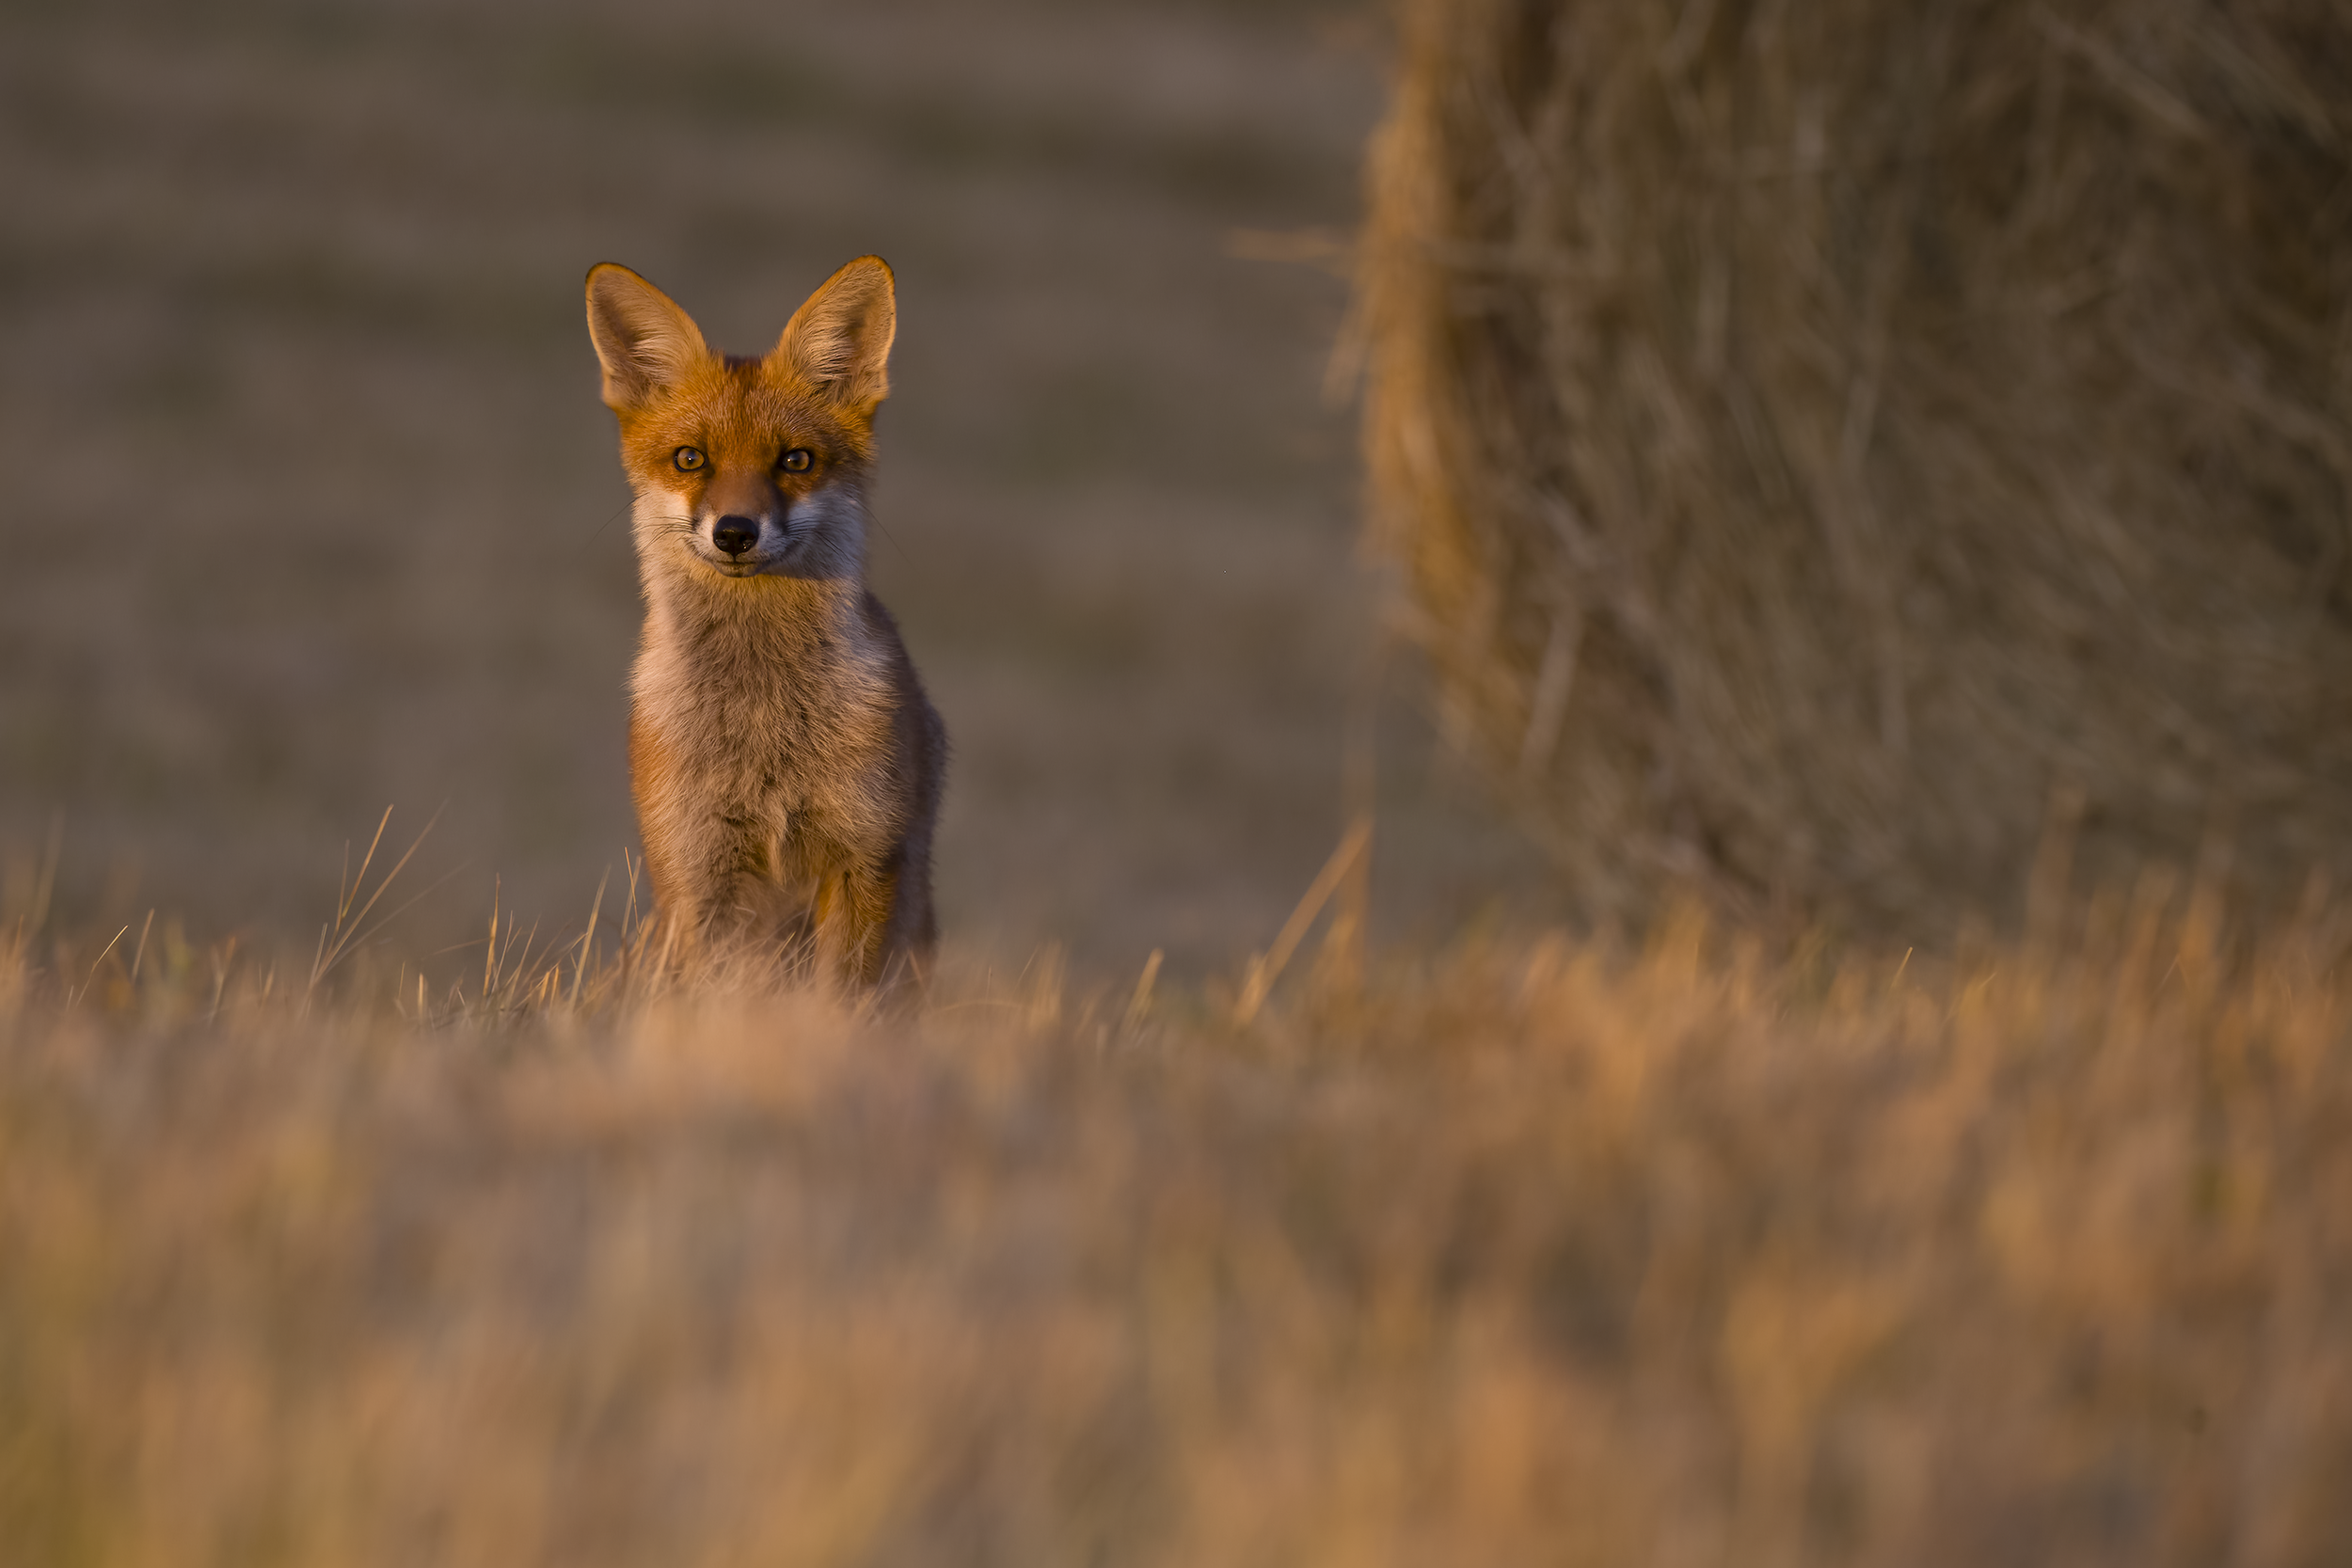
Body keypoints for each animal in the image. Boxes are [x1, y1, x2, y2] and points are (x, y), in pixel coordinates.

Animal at [585, 256, 946, 992]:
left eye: (796, 460)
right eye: (690, 458)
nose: (734, 532)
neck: (766, 725)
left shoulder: (866, 854)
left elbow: (842, 1000)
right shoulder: (698, 867)